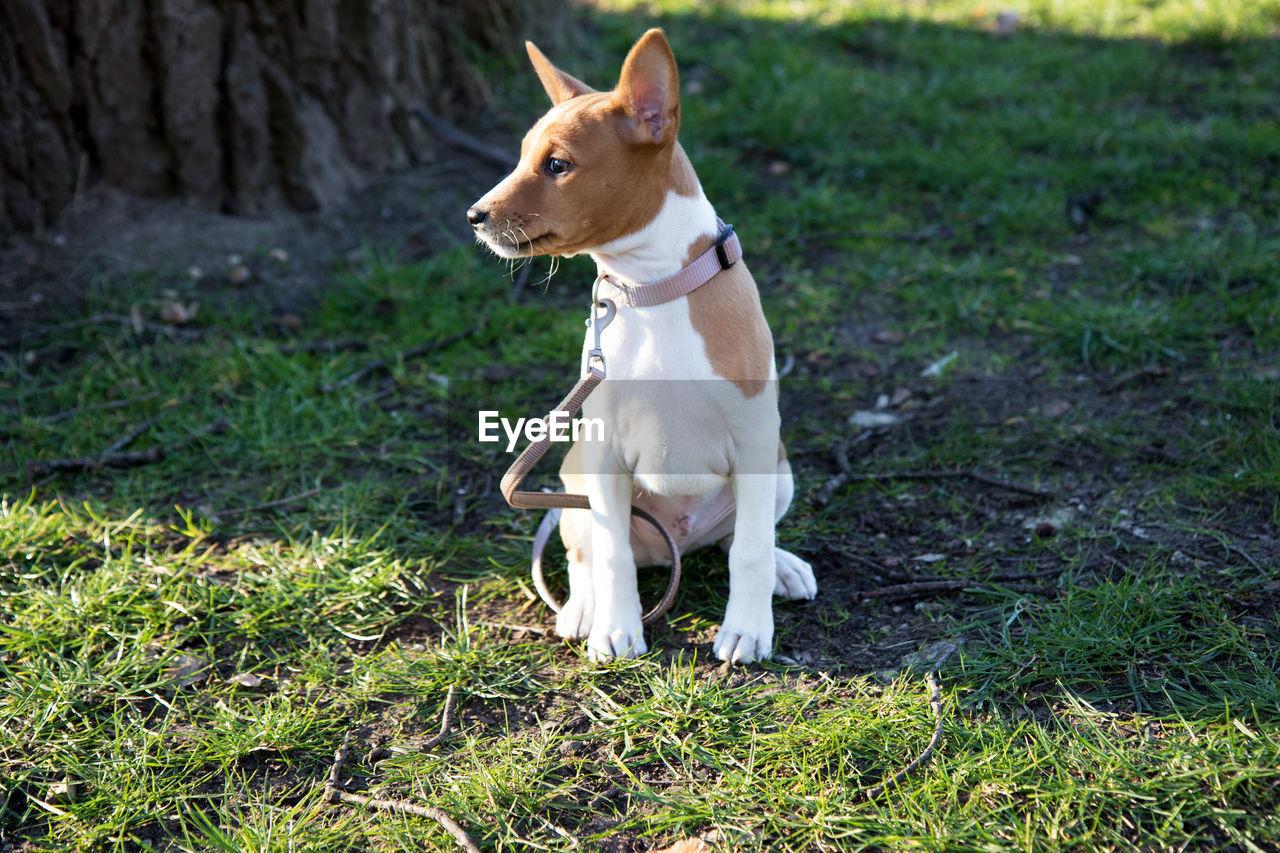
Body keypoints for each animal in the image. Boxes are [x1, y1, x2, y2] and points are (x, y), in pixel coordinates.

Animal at [465, 28, 814, 666]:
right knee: (586, 553)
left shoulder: (755, 440)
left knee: (737, 537)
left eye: (557, 164)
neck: (653, 291)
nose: (474, 216)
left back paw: (784, 566)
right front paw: (617, 629)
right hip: (576, 480)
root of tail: (676, 539)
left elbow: (749, 549)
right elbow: (613, 558)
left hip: (778, 471)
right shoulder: (604, 456)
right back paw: (584, 610)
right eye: (523, 157)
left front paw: (748, 627)